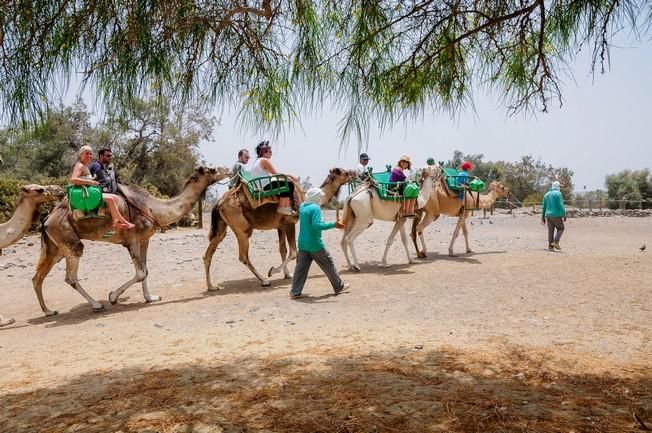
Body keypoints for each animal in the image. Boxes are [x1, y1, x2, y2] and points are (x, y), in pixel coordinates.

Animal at [33, 165, 232, 314]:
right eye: (212, 169)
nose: (229, 170)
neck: (152, 208)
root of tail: (47, 219)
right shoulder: (132, 240)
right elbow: (140, 273)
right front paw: (113, 297)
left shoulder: (145, 239)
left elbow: (146, 270)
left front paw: (150, 298)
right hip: (69, 240)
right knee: (70, 276)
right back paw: (96, 304)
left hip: (56, 247)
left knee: (38, 277)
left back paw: (48, 311)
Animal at [204, 167, 356, 288]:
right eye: (345, 172)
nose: (354, 174)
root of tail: (219, 202)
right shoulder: (290, 222)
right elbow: (293, 252)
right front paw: (273, 271)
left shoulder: (281, 226)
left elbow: (283, 250)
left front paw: (287, 274)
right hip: (242, 229)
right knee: (243, 256)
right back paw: (264, 280)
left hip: (222, 228)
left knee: (208, 254)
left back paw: (211, 286)